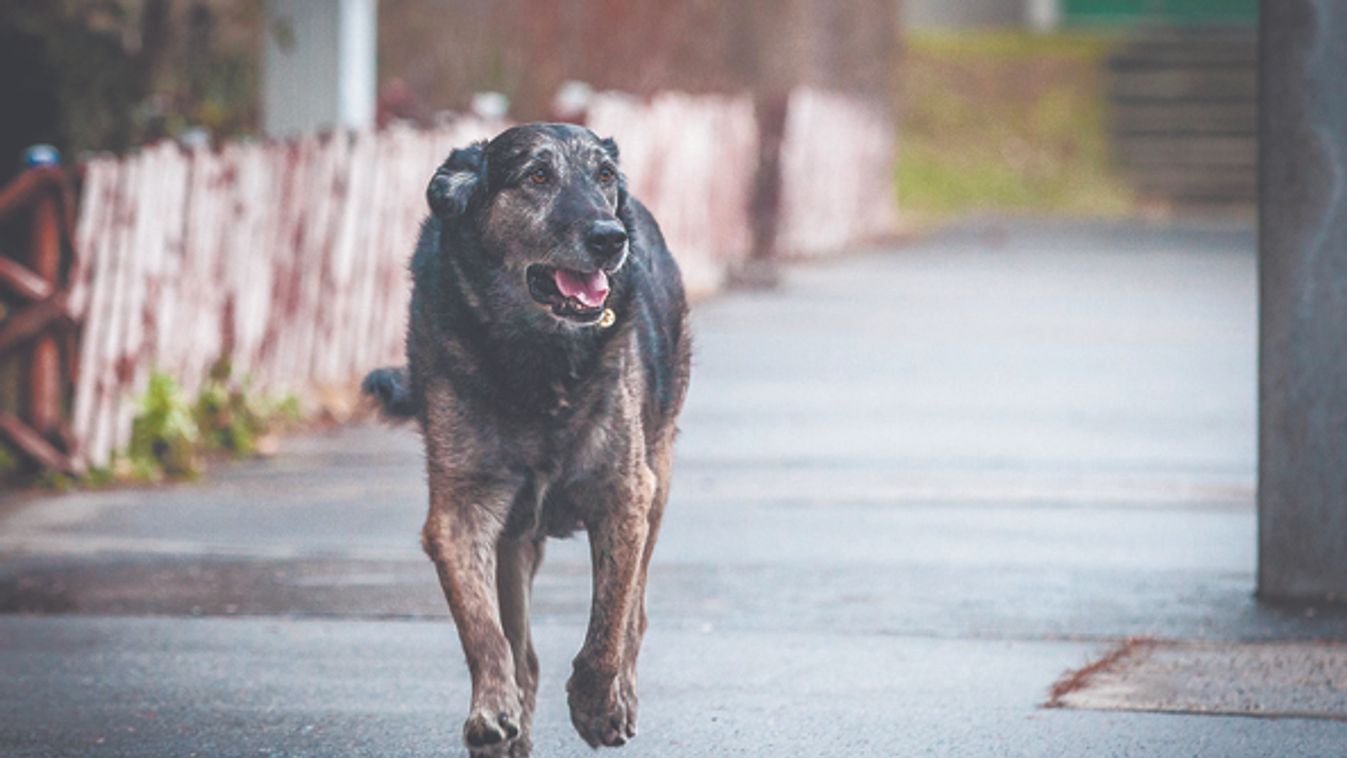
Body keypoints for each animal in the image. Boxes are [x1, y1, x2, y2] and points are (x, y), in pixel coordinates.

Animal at [363, 121, 689, 753]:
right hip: (515, 537)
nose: (610, 237)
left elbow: (609, 621)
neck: (540, 358)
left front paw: (597, 704)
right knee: (523, 650)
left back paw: (620, 694)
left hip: (659, 477)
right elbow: (484, 631)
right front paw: (492, 710)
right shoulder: (460, 514)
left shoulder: (625, 495)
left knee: (635, 614)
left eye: (603, 175)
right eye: (537, 176)